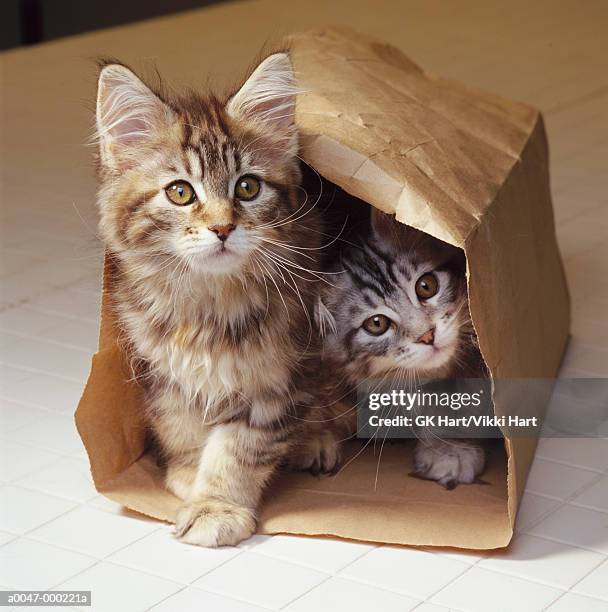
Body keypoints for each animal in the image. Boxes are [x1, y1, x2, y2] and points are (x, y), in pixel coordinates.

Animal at [94, 55, 324, 548]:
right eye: (180, 192)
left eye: (248, 188)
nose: (222, 228)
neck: (206, 303)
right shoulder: (161, 371)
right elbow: (180, 425)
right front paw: (187, 475)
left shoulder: (276, 380)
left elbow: (237, 451)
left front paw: (216, 506)